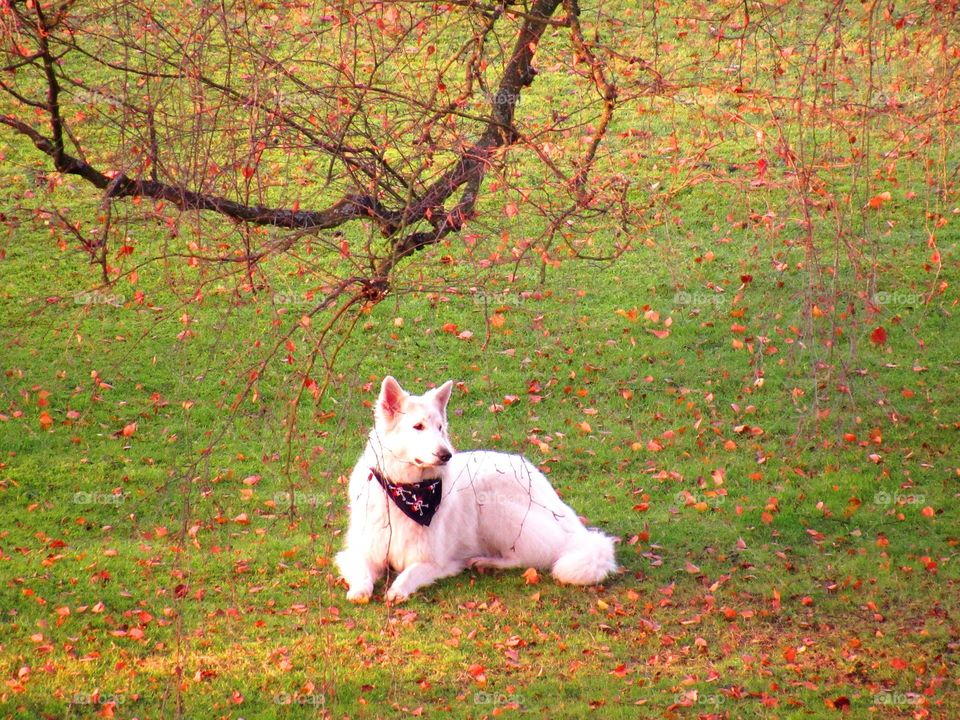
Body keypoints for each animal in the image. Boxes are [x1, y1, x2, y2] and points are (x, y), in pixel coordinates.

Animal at [334, 376, 620, 600]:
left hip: (493, 508)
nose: (446, 455)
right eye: (418, 427)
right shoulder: (363, 551)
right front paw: (360, 590)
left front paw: (397, 589)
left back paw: (485, 560)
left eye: (440, 427)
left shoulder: (433, 560)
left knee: (524, 559)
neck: (406, 490)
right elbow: (362, 571)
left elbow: (409, 573)